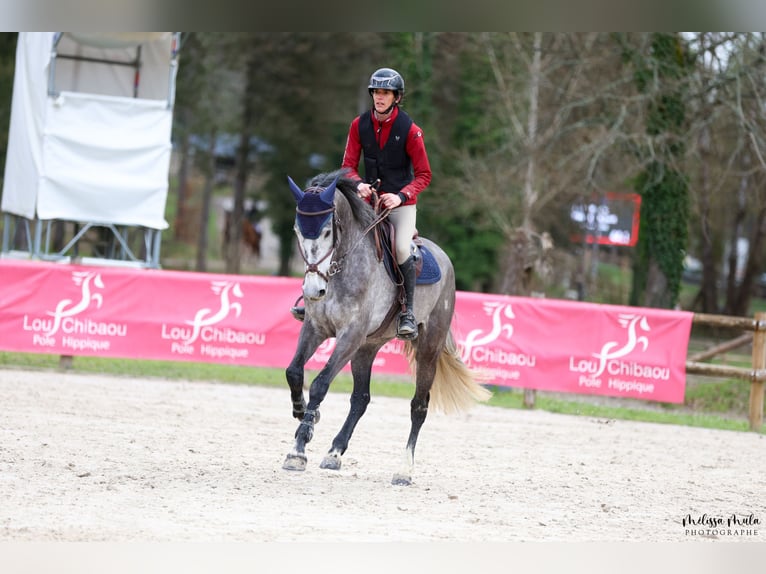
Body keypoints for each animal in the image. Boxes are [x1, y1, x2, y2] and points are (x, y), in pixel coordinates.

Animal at [284, 170, 492, 486]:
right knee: (360, 399)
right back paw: (334, 453)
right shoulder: (316, 327)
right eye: (297, 230)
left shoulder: (350, 335)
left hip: (427, 348)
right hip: (367, 347)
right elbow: (294, 372)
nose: (313, 290)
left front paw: (300, 446)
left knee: (419, 406)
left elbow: (320, 383)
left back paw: (404, 471)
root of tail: (443, 257)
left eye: (327, 232)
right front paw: (302, 413)